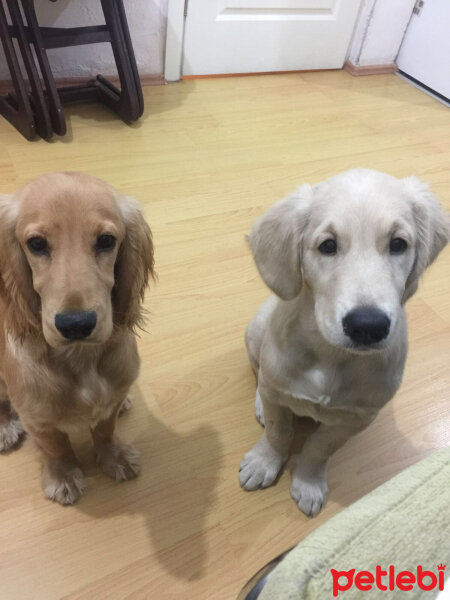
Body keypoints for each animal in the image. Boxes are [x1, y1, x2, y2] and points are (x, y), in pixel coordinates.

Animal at [0, 171, 155, 504]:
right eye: (36, 244)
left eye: (106, 241)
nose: (75, 325)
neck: (81, 358)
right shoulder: (37, 418)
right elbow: (56, 447)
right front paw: (64, 477)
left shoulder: (111, 399)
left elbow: (105, 430)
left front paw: (115, 457)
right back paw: (5, 426)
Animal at [239, 168, 446, 516]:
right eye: (328, 246)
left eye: (398, 244)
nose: (368, 326)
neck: (330, 355)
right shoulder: (279, 386)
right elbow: (279, 431)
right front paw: (264, 461)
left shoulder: (356, 419)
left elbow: (319, 447)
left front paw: (308, 481)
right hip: (256, 332)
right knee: (260, 375)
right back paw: (258, 404)